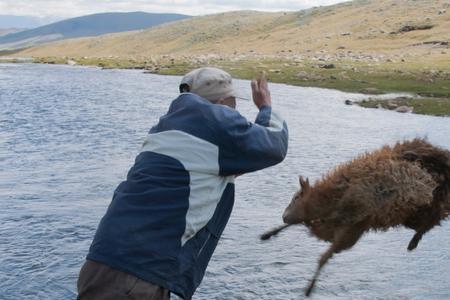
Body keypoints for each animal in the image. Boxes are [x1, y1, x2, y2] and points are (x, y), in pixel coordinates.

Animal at [260, 139, 450, 298]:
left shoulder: (351, 229)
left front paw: (309, 288)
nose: (283, 216)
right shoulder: (342, 227)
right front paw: (268, 234)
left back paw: (414, 242)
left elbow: (323, 258)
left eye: (296, 198)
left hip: (428, 205)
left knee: (435, 217)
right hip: (410, 214)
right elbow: (303, 229)